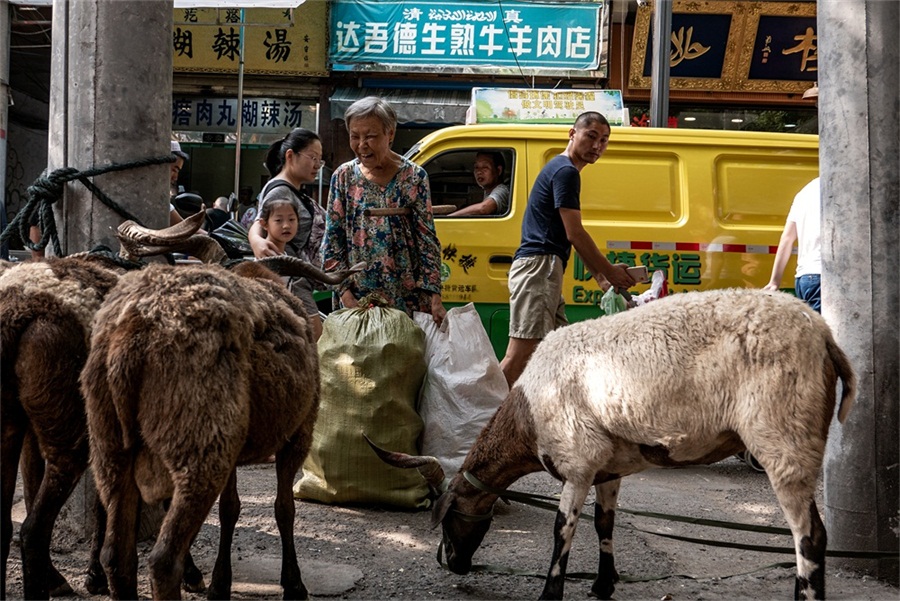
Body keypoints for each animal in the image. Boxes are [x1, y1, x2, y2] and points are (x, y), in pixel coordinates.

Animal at [77, 254, 358, 600]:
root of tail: (130, 340)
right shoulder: (298, 434)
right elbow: (284, 509)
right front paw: (293, 584)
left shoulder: (235, 448)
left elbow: (230, 509)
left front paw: (220, 584)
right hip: (200, 444)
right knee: (162, 560)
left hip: (110, 444)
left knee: (117, 554)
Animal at [374, 288, 856, 596]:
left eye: (449, 516)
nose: (451, 563)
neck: (527, 413)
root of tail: (825, 336)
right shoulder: (608, 466)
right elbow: (603, 524)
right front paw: (603, 585)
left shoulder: (576, 461)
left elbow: (562, 530)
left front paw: (551, 592)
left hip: (786, 437)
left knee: (810, 537)